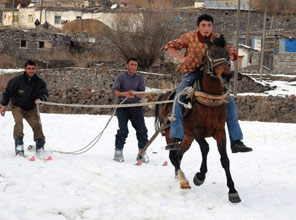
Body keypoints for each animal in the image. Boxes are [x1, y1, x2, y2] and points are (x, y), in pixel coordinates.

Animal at [155, 34, 240, 203]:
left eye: (228, 55)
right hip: (171, 133)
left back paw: (178, 176)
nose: (227, 75)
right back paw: (183, 180)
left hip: (187, 137)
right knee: (173, 154)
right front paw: (199, 176)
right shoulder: (196, 131)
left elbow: (225, 159)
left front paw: (233, 191)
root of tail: (164, 95)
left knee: (179, 154)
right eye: (212, 53)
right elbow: (205, 148)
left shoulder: (220, 132)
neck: (209, 99)